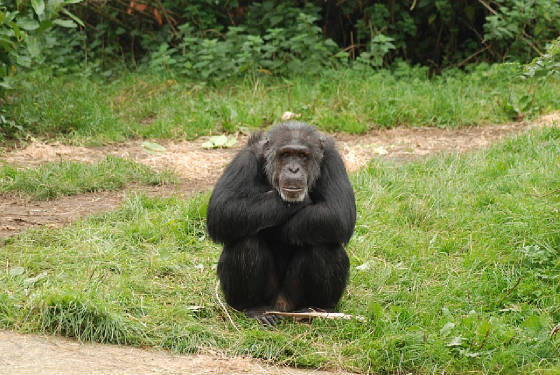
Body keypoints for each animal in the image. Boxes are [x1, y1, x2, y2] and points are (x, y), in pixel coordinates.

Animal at [206, 121, 354, 326]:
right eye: (285, 155)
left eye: (302, 156)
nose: (293, 169)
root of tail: (281, 306)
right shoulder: (244, 160)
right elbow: (222, 209)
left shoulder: (333, 161)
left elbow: (338, 214)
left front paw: (281, 231)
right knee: (245, 243)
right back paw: (254, 308)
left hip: (294, 297)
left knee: (324, 245)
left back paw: (317, 309)